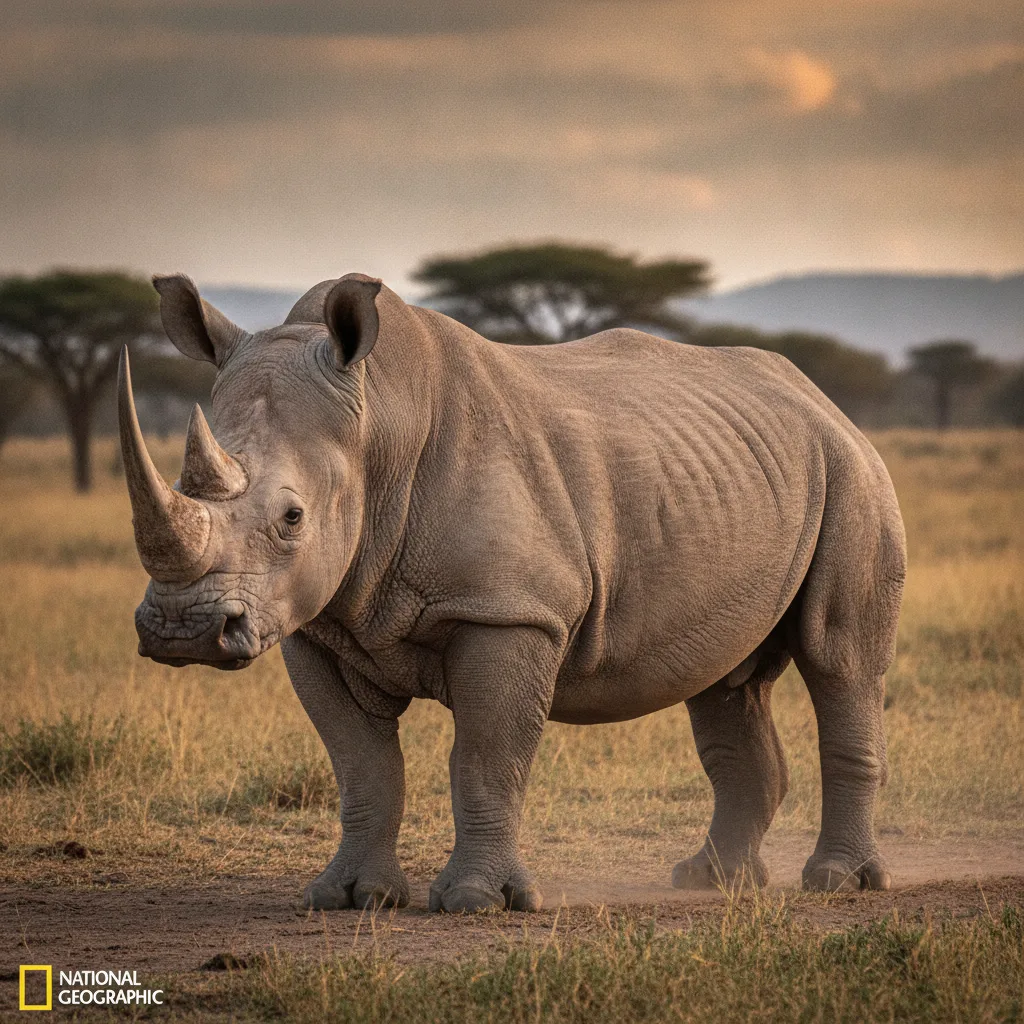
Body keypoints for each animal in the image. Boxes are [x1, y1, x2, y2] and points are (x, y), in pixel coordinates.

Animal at [119, 272, 905, 912]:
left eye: (292, 518)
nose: (183, 630)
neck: (375, 430)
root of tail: (822, 399)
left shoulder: (510, 613)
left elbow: (486, 757)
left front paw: (476, 902)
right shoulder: (317, 624)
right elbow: (361, 766)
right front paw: (347, 897)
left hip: (853, 471)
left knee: (840, 659)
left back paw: (839, 883)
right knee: (724, 680)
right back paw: (710, 881)